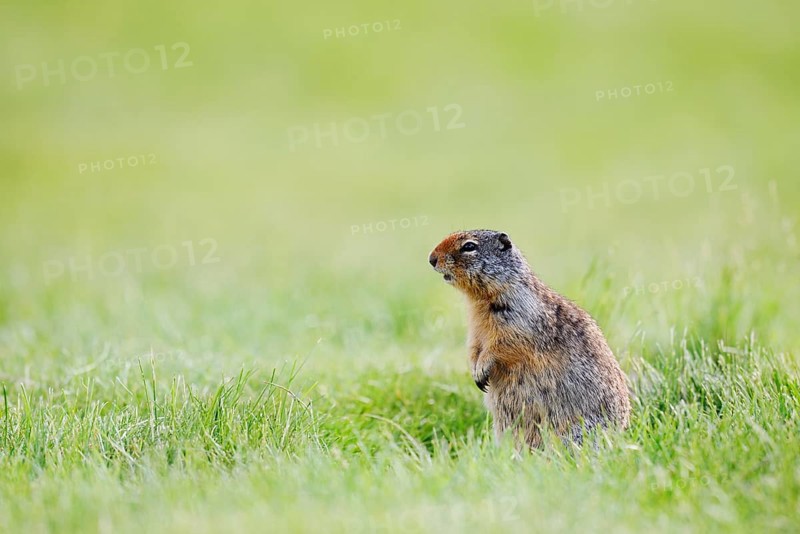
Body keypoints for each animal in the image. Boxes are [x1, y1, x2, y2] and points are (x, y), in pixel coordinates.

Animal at [428, 229, 630, 448]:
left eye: (469, 246)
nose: (431, 259)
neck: (481, 300)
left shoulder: (520, 319)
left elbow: (503, 344)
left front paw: (482, 370)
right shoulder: (475, 328)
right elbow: (474, 347)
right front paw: (475, 371)